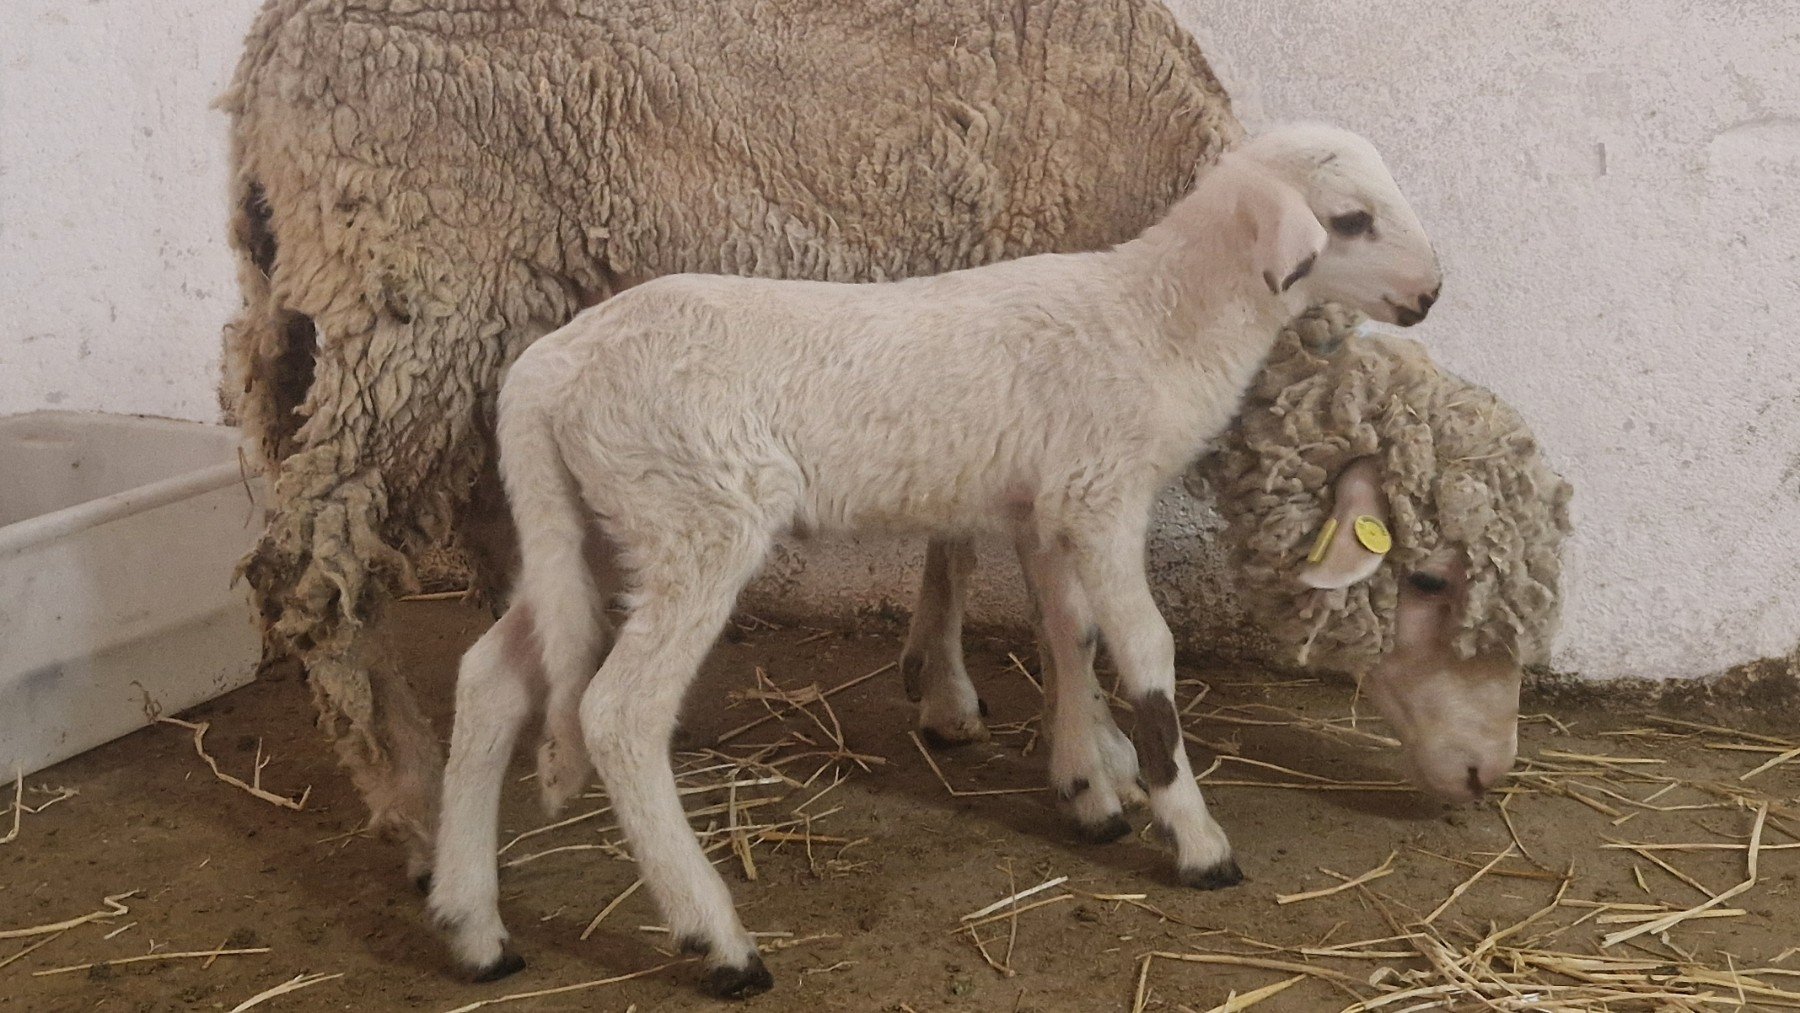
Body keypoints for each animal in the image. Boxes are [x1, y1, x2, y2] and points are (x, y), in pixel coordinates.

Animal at [217, 0, 1245, 881]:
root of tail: (268, 54)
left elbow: (956, 539)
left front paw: (946, 687)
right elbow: (1055, 594)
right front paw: (1097, 756)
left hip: (389, 322)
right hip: (420, 298)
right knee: (311, 565)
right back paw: (414, 804)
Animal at [432, 120, 1447, 1000]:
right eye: (1350, 219)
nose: (1432, 294)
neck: (1159, 316)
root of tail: (546, 371)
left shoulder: (1046, 506)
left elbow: (1069, 637)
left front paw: (1088, 785)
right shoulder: (1102, 494)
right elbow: (1147, 654)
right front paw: (1193, 835)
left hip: (595, 528)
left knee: (490, 677)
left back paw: (472, 927)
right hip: (695, 513)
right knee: (618, 711)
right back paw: (716, 939)